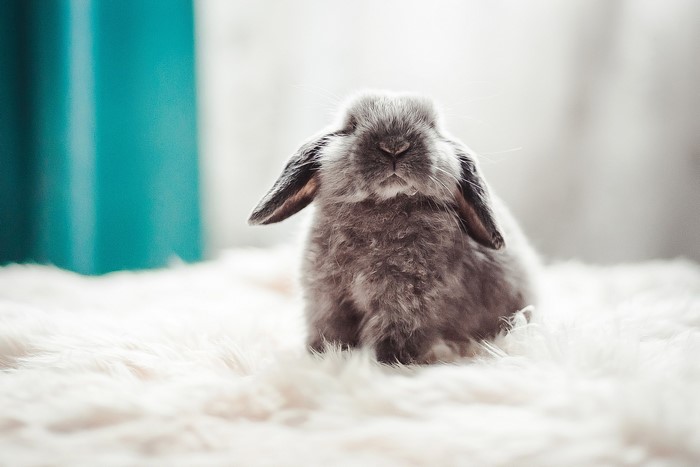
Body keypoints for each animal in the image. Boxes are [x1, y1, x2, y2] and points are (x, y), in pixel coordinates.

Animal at [249, 91, 539, 365]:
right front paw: (325, 354)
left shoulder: (406, 304)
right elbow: (329, 327)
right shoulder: (327, 296)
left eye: (432, 126)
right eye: (351, 125)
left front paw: (388, 362)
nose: (394, 146)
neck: (384, 205)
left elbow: (394, 333)